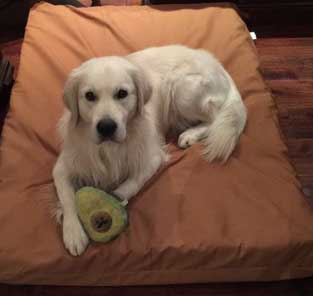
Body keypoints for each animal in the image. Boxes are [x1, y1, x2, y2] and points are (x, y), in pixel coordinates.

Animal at [53, 45, 246, 256]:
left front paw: (113, 199)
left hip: (181, 90)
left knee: (214, 118)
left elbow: (131, 184)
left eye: (122, 93)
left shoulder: (151, 159)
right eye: (89, 96)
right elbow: (67, 198)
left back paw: (190, 134)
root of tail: (216, 64)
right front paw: (73, 232)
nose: (106, 127)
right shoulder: (62, 167)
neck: (109, 149)